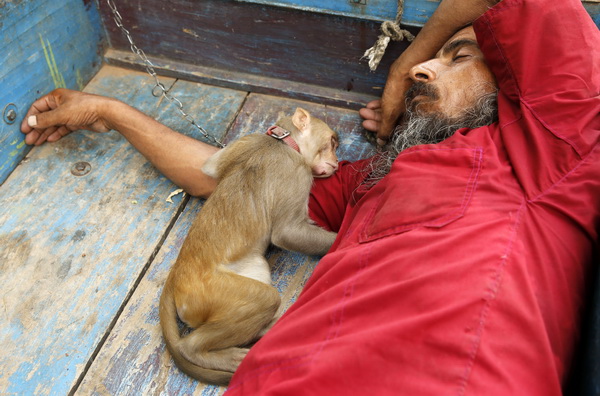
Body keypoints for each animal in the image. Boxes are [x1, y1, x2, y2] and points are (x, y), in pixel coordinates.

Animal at [158, 106, 338, 386]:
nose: (337, 163)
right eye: (332, 143)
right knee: (265, 299)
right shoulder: (296, 171)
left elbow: (209, 167)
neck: (281, 141)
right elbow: (286, 232)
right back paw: (202, 351)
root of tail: (176, 274)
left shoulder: (246, 140)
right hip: (211, 292)